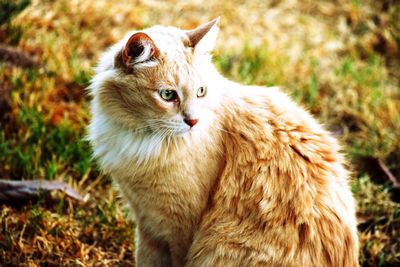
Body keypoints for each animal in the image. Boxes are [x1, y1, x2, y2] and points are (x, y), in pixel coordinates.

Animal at [87, 17, 360, 266]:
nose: (193, 121)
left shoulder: (179, 227)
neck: (144, 139)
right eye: (167, 95)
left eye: (201, 92)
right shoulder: (147, 225)